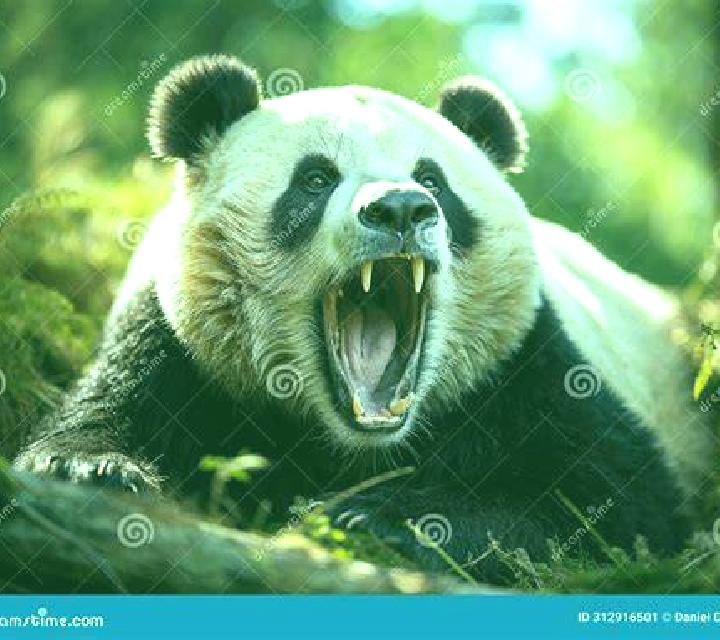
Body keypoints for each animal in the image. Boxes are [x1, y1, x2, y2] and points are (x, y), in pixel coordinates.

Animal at [15, 54, 712, 582]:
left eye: (433, 179)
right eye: (315, 179)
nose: (401, 208)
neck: (356, 442)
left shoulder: (529, 360)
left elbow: (617, 501)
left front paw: (380, 520)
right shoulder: (176, 338)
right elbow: (111, 409)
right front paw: (89, 469)